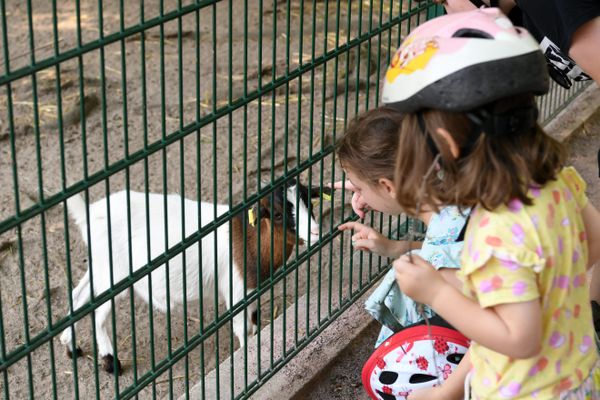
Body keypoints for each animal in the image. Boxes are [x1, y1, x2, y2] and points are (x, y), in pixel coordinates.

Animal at [59, 180, 328, 374]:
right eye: (278, 214)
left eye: (310, 203)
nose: (315, 231)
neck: (249, 241)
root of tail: (88, 214)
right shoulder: (236, 291)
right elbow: (244, 329)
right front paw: (246, 358)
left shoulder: (251, 291)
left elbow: (253, 323)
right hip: (116, 275)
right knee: (97, 313)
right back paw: (110, 362)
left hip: (102, 266)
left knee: (79, 294)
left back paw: (71, 346)